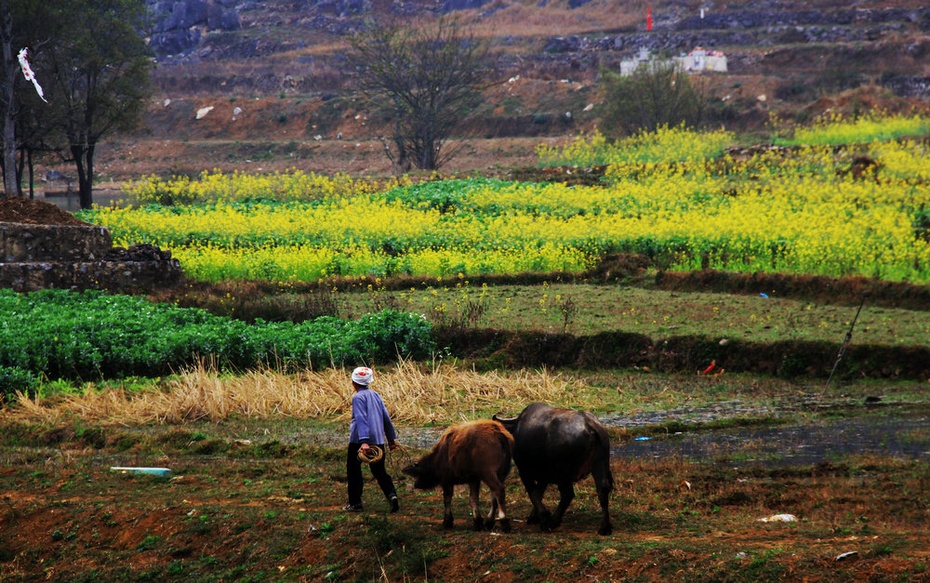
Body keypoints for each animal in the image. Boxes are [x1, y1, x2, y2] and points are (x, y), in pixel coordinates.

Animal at [490, 404, 612, 536]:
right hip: (600, 463)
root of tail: (589, 424)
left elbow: (533, 494)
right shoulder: (544, 477)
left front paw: (543, 517)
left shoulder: (524, 471)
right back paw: (605, 527)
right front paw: (534, 517)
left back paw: (552, 522)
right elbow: (539, 493)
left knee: (567, 494)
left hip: (562, 473)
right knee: (603, 490)